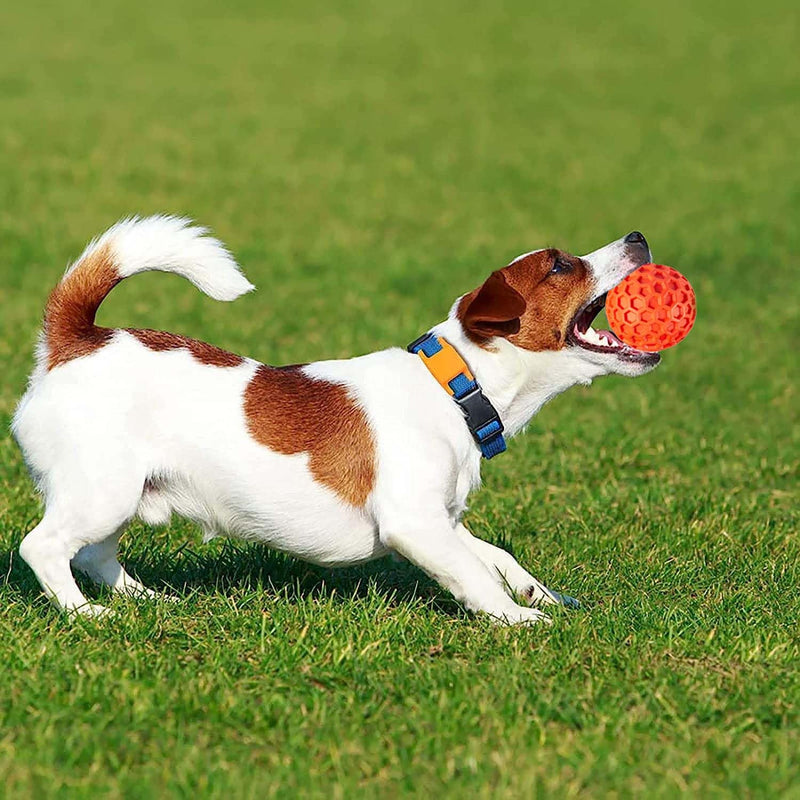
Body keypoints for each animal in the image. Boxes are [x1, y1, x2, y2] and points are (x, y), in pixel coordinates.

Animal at [12, 216, 660, 620]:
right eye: (560, 266)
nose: (638, 235)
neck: (452, 384)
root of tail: (76, 341)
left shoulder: (443, 519)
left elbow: (496, 556)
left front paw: (542, 595)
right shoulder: (415, 524)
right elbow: (473, 576)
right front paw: (519, 619)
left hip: (120, 492)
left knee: (93, 555)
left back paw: (147, 601)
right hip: (102, 490)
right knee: (43, 547)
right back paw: (86, 614)